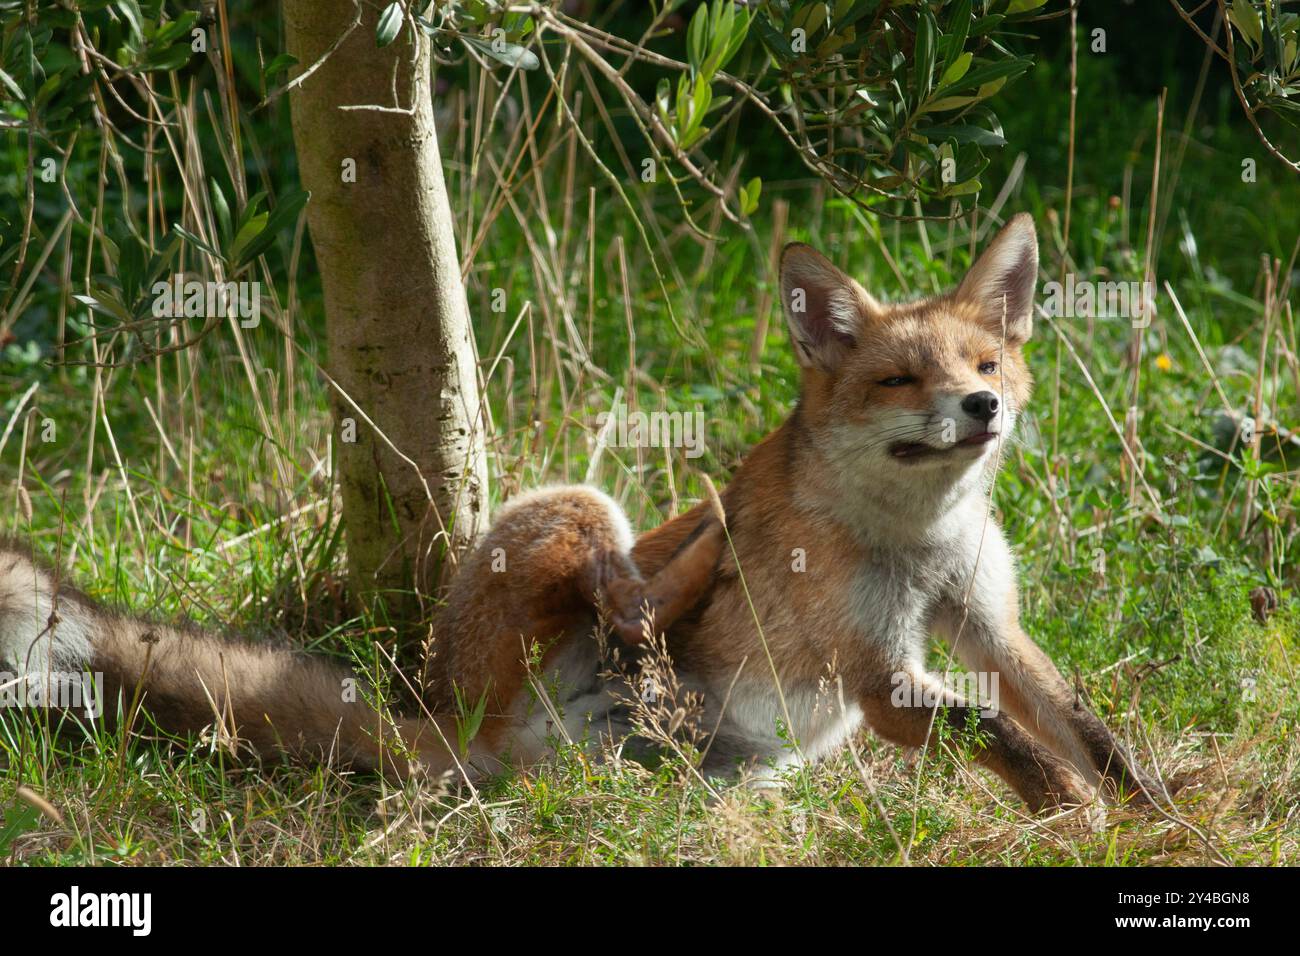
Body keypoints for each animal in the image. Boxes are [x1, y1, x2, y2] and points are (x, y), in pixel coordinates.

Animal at [0, 218, 1159, 816]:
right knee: (624, 589)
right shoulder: (877, 675)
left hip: (713, 755)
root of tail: (448, 730)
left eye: (986, 364)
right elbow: (995, 731)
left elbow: (1088, 728)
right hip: (573, 506)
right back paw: (692, 555)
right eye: (898, 379)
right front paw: (1069, 811)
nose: (982, 408)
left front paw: (1151, 814)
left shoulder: (987, 625)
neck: (918, 543)